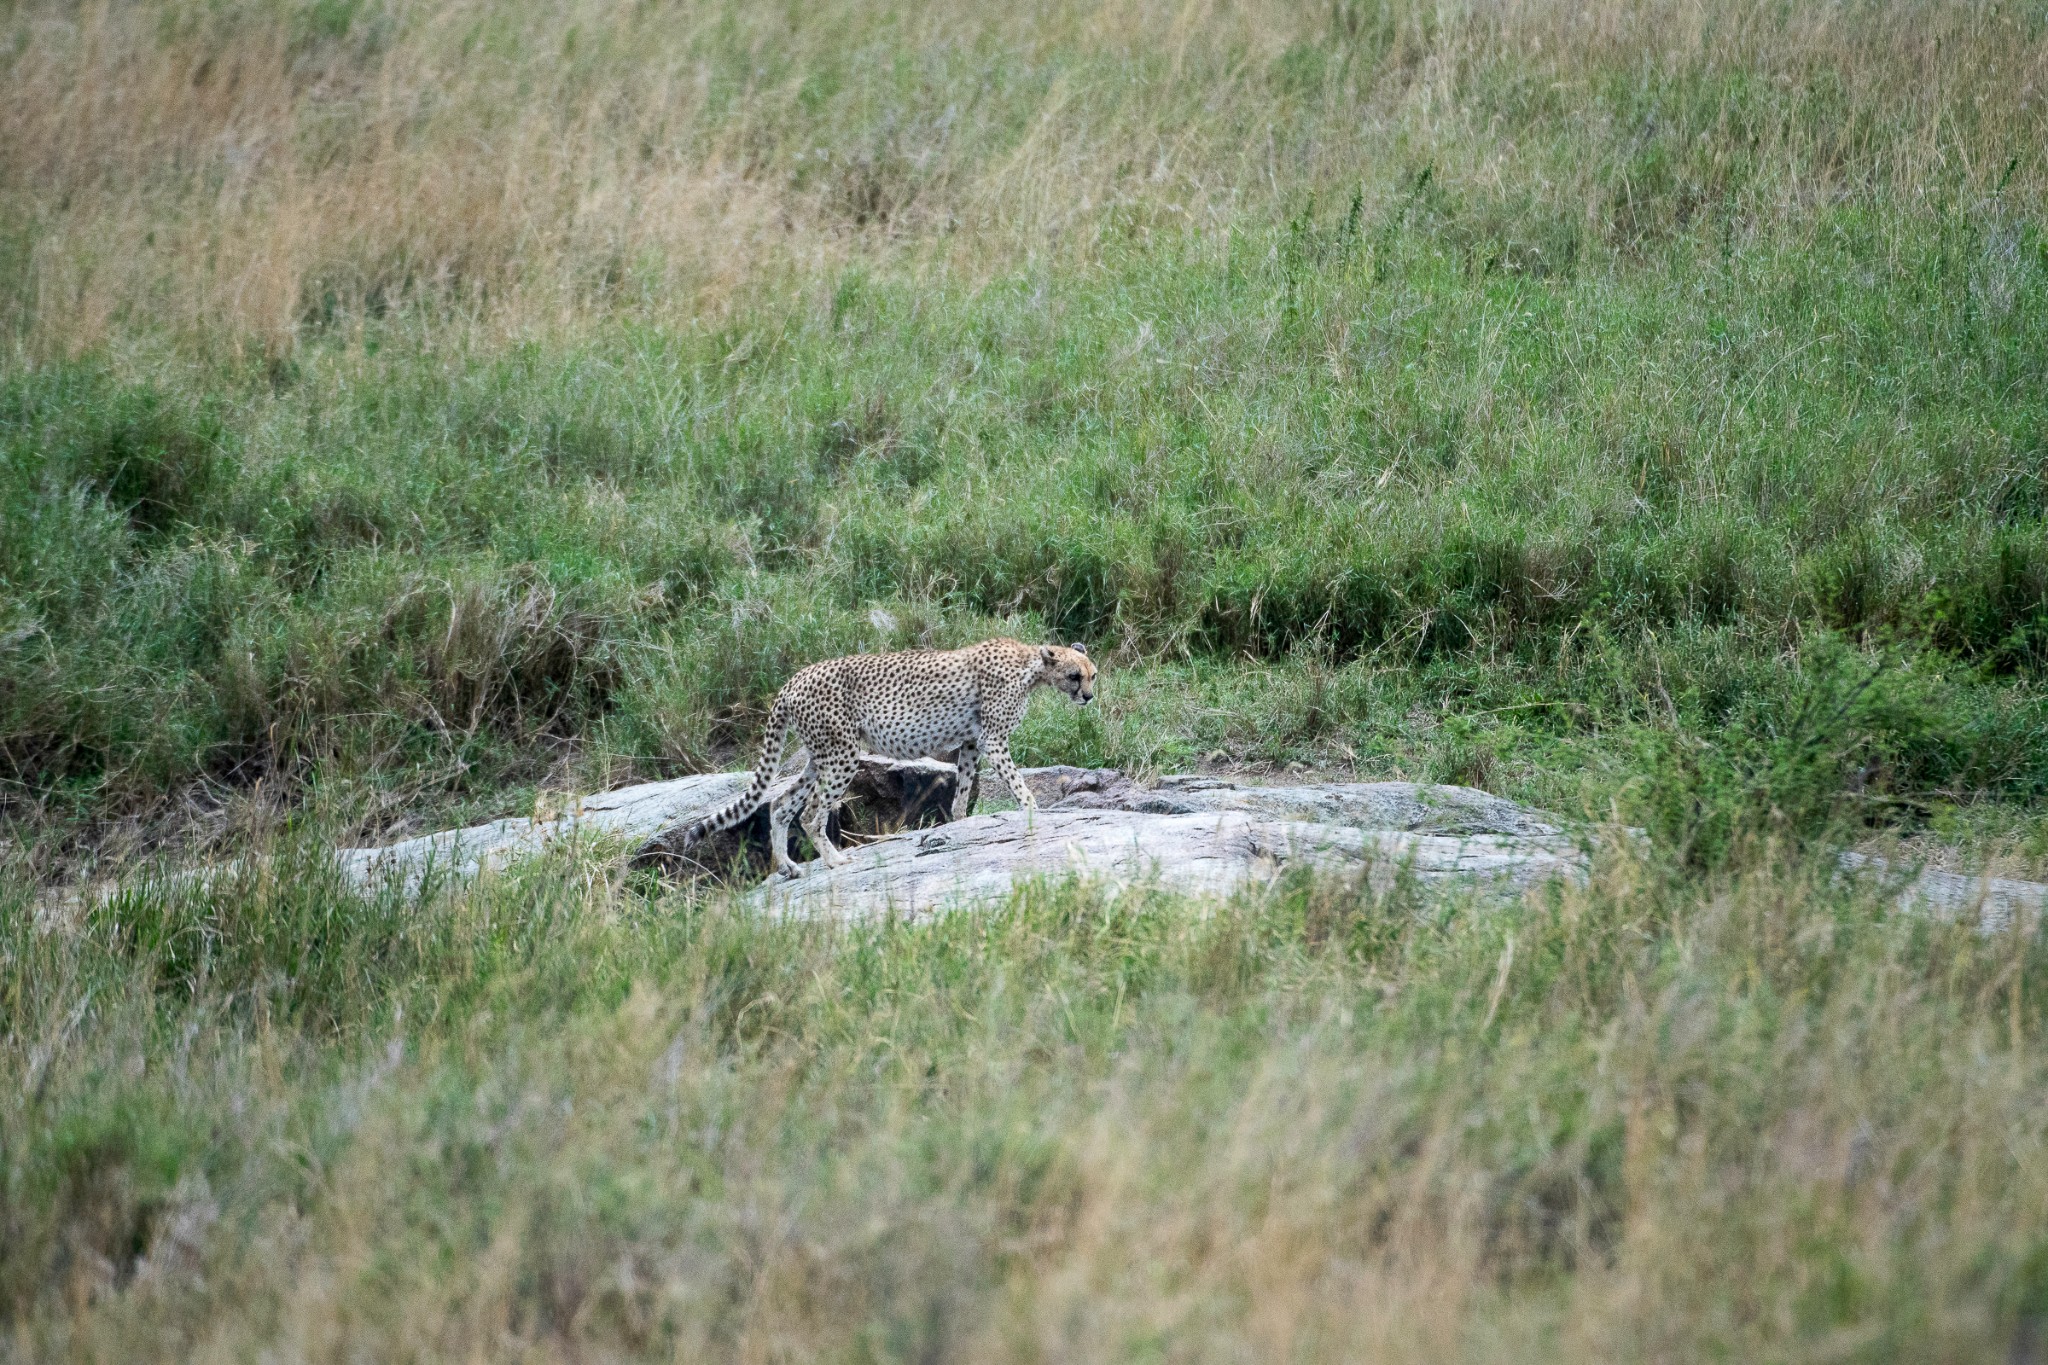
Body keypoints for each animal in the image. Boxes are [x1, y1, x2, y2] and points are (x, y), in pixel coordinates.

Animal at [671, 638, 1097, 879]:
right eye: (1074, 676)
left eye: (1093, 675)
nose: (1089, 697)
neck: (1031, 667)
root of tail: (793, 679)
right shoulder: (992, 740)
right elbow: (1019, 784)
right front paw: (1034, 810)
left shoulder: (971, 743)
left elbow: (962, 790)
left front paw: (960, 823)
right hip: (843, 753)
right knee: (810, 813)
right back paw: (834, 861)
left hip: (819, 757)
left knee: (780, 804)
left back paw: (788, 867)